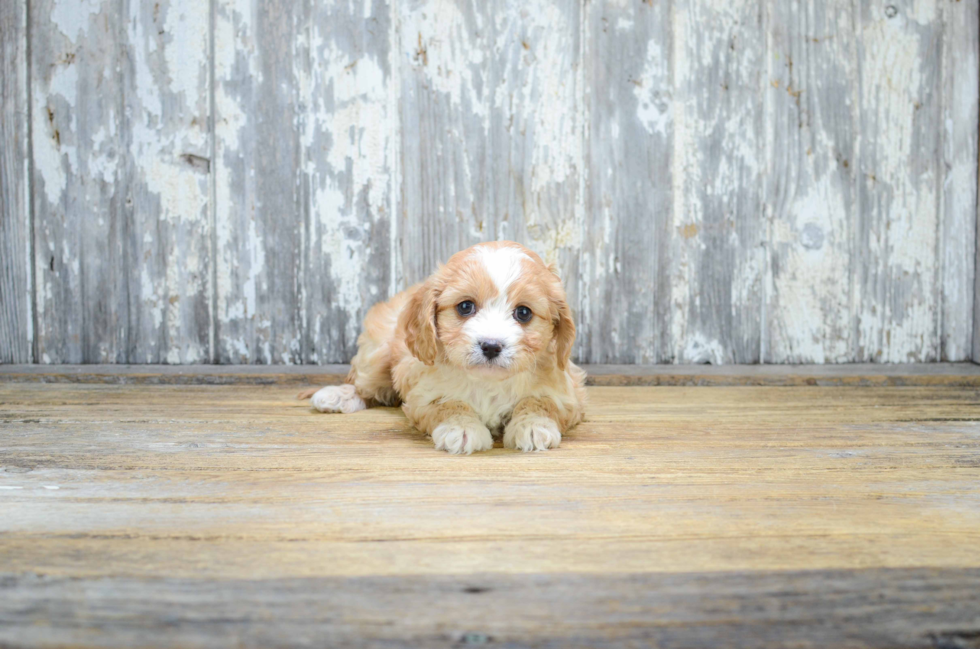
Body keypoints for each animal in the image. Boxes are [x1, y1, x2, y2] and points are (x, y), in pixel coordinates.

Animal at [298, 240, 584, 454]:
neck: (488, 381)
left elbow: (540, 401)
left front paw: (534, 426)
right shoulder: (422, 392)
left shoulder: (567, 390)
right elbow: (448, 404)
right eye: (465, 306)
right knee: (364, 384)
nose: (491, 346)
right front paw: (462, 428)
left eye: (523, 313)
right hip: (376, 353)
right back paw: (337, 396)